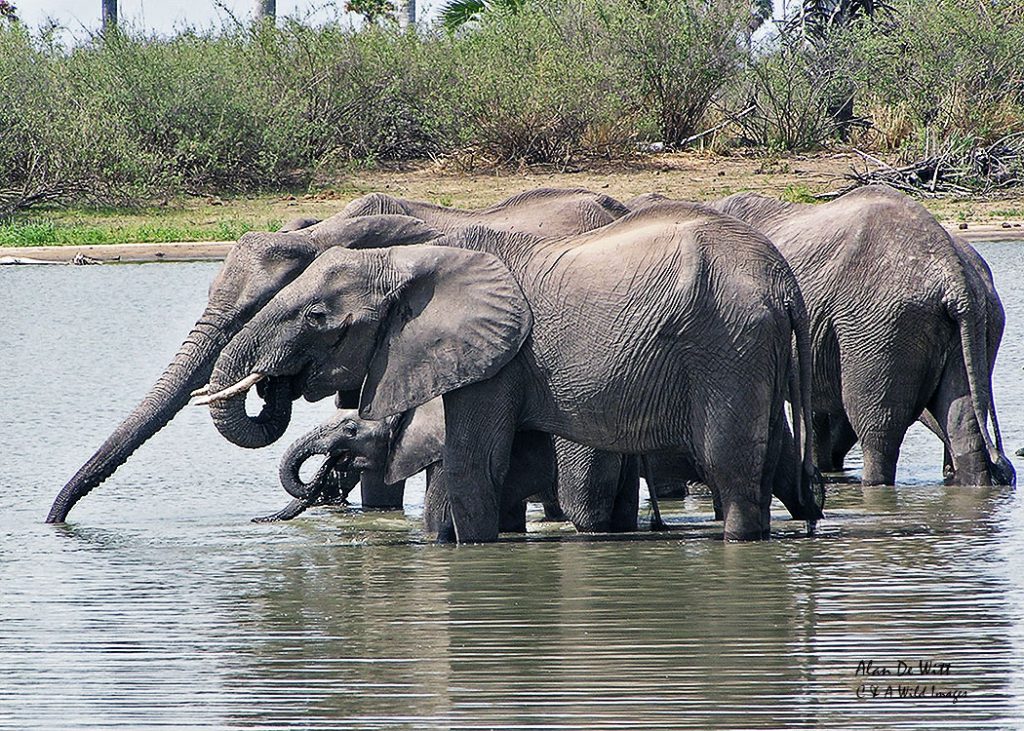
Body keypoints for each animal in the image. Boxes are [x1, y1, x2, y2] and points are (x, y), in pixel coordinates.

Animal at [198, 201, 822, 542]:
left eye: (315, 316)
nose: (274, 386)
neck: (412, 261)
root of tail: (784, 282)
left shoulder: (492, 357)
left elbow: (474, 465)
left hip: (727, 343)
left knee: (732, 466)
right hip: (751, 350)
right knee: (775, 460)